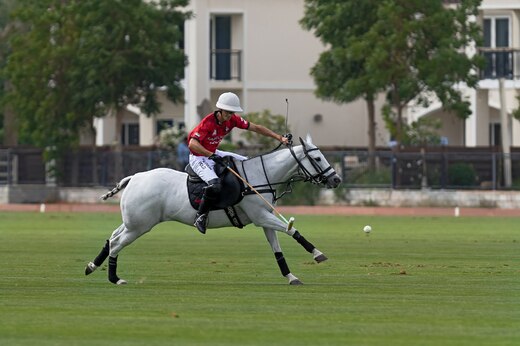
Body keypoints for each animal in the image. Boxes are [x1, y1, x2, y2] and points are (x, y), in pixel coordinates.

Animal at [85, 134, 342, 284]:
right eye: (317, 158)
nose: (336, 179)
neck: (260, 177)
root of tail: (134, 177)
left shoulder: (265, 219)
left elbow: (277, 249)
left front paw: (291, 276)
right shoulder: (261, 217)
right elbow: (292, 230)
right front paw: (318, 254)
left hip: (132, 222)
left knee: (111, 238)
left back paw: (91, 266)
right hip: (139, 225)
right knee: (117, 243)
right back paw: (114, 278)